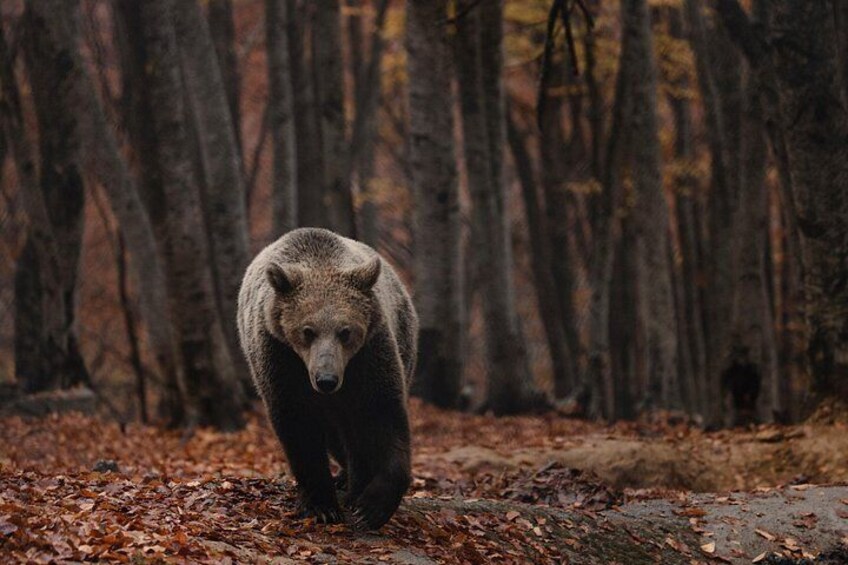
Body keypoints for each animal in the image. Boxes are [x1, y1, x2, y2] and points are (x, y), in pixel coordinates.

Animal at [237, 227, 418, 530]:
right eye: (307, 331)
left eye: (345, 331)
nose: (326, 380)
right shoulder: (279, 356)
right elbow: (299, 426)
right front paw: (322, 506)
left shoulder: (369, 354)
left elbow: (382, 413)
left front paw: (371, 506)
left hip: (404, 337)